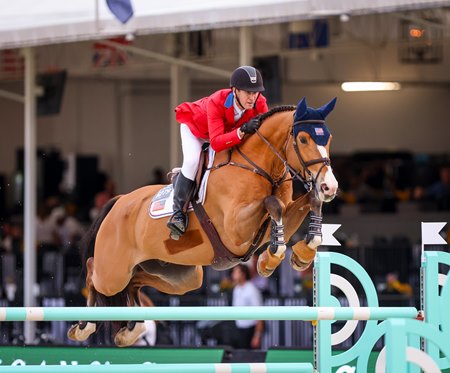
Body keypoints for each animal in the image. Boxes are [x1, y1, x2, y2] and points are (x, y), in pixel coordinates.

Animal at [67, 96, 338, 346]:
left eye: (329, 139)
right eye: (303, 139)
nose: (330, 186)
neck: (259, 166)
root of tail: (119, 201)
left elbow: (308, 202)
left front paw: (303, 252)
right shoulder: (236, 230)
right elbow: (273, 204)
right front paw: (270, 260)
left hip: (179, 276)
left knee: (135, 282)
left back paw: (131, 330)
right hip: (113, 272)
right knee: (93, 271)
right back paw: (84, 326)